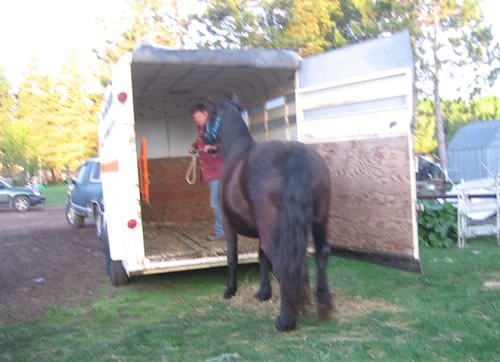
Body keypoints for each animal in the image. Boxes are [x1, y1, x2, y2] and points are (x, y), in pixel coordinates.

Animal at [214, 97, 332, 330]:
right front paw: (263, 293)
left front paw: (230, 290)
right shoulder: (262, 230)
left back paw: (286, 319)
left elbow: (232, 257)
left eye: (212, 118)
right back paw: (322, 305)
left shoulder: (229, 224)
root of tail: (294, 154)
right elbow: (261, 258)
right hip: (317, 223)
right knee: (321, 254)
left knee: (281, 261)